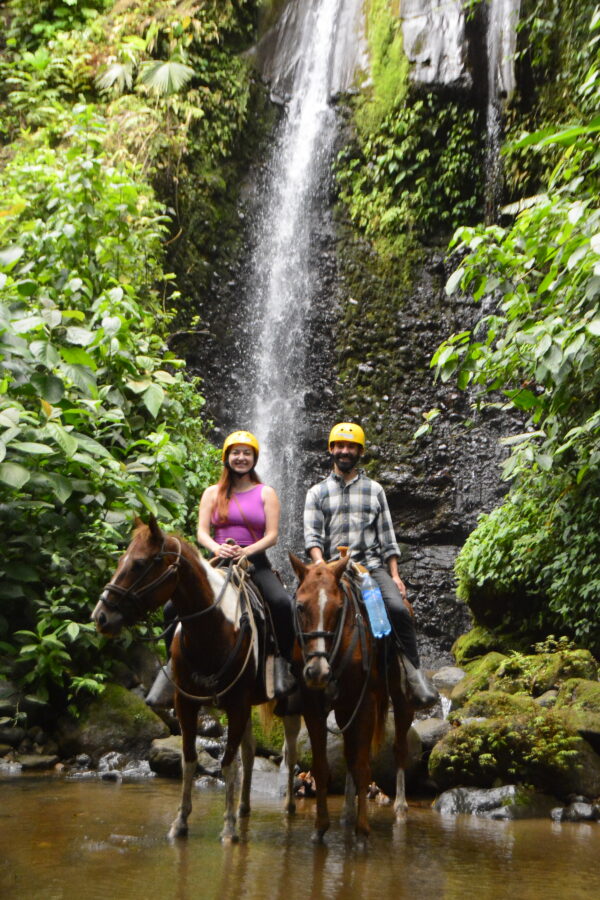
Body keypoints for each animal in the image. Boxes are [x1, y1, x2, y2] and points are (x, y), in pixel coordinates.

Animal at [92, 520, 300, 844]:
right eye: (120, 560)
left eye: (139, 564)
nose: (100, 616)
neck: (211, 629)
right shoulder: (186, 703)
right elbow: (190, 760)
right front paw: (180, 823)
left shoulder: (236, 705)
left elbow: (227, 763)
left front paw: (228, 828)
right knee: (250, 751)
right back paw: (243, 808)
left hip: (290, 701)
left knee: (289, 751)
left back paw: (287, 806)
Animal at [290, 556, 412, 844]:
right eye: (300, 606)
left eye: (337, 609)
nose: (317, 671)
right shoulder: (313, 707)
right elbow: (322, 766)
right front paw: (320, 828)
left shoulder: (364, 702)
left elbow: (363, 766)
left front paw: (362, 831)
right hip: (344, 708)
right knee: (347, 753)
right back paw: (346, 812)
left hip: (399, 697)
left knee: (399, 746)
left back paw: (400, 809)